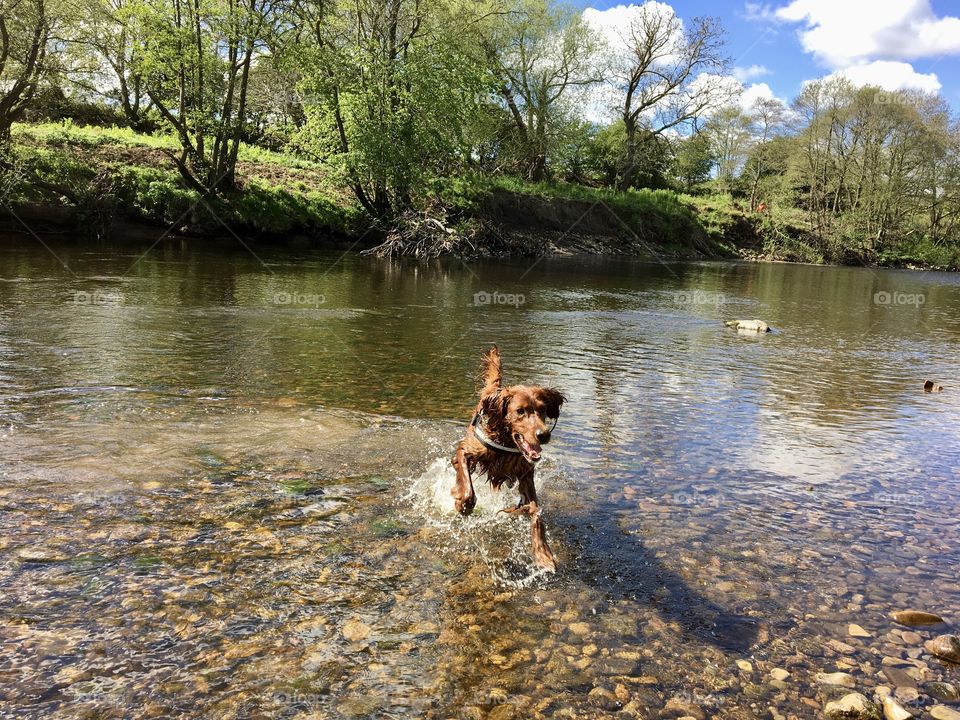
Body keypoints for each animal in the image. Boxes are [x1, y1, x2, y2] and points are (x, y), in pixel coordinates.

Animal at [452, 346, 568, 572]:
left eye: (542, 409)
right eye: (520, 411)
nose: (543, 435)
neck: (506, 443)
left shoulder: (526, 474)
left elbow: (535, 512)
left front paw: (543, 553)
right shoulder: (465, 450)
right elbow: (467, 486)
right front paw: (464, 504)